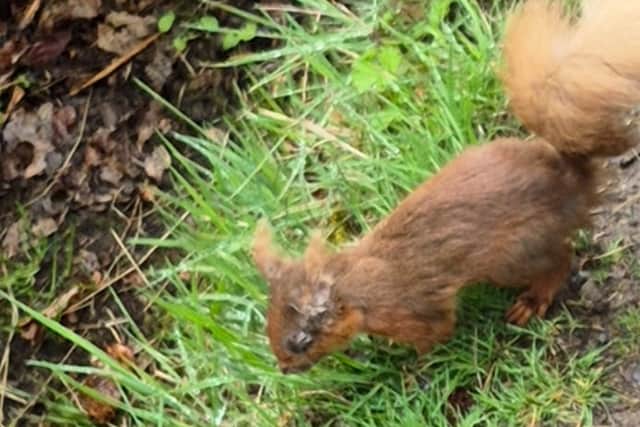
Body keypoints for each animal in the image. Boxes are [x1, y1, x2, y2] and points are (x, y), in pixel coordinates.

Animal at [252, 0, 640, 374]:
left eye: (301, 341)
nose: (284, 369)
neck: (355, 284)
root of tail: (570, 183)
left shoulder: (414, 310)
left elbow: (437, 332)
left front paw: (413, 368)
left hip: (516, 255)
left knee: (559, 260)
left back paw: (532, 301)